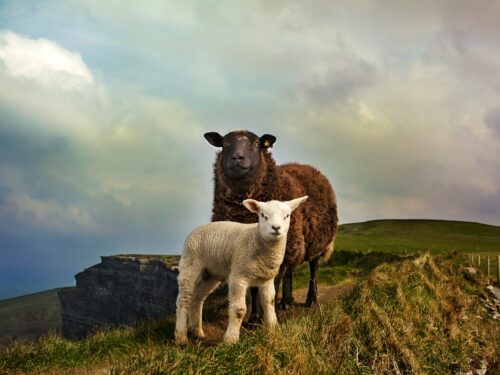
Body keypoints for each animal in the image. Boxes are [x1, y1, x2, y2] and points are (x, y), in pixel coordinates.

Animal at [176, 197, 308, 346]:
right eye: (263, 215)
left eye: (287, 216)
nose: (276, 228)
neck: (255, 239)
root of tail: (197, 229)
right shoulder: (239, 276)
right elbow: (239, 310)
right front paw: (231, 340)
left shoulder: (266, 279)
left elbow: (269, 303)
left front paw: (273, 330)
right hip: (190, 263)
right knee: (184, 299)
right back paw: (181, 337)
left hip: (209, 274)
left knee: (197, 298)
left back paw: (196, 331)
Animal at [204, 131, 340, 324]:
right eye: (224, 143)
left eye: (256, 143)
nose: (237, 157)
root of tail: (310, 168)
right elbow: (255, 289)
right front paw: (254, 318)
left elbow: (271, 287)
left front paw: (268, 317)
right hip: (294, 245)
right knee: (290, 272)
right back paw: (286, 302)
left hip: (316, 244)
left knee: (313, 271)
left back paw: (311, 300)